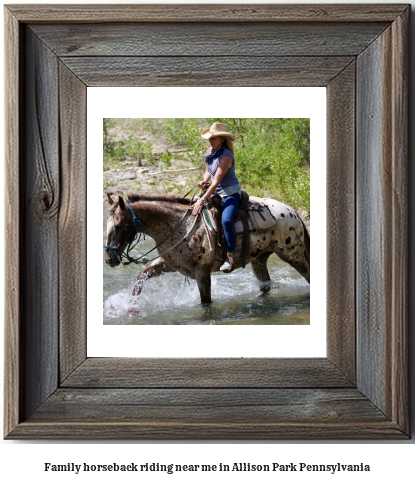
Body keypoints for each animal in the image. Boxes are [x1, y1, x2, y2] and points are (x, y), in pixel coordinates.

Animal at [105, 193, 310, 304]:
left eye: (119, 225)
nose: (109, 259)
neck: (178, 225)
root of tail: (292, 211)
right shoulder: (169, 265)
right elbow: (141, 278)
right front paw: (131, 309)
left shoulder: (201, 273)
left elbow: (206, 303)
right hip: (259, 260)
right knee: (265, 285)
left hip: (293, 255)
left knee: (307, 274)